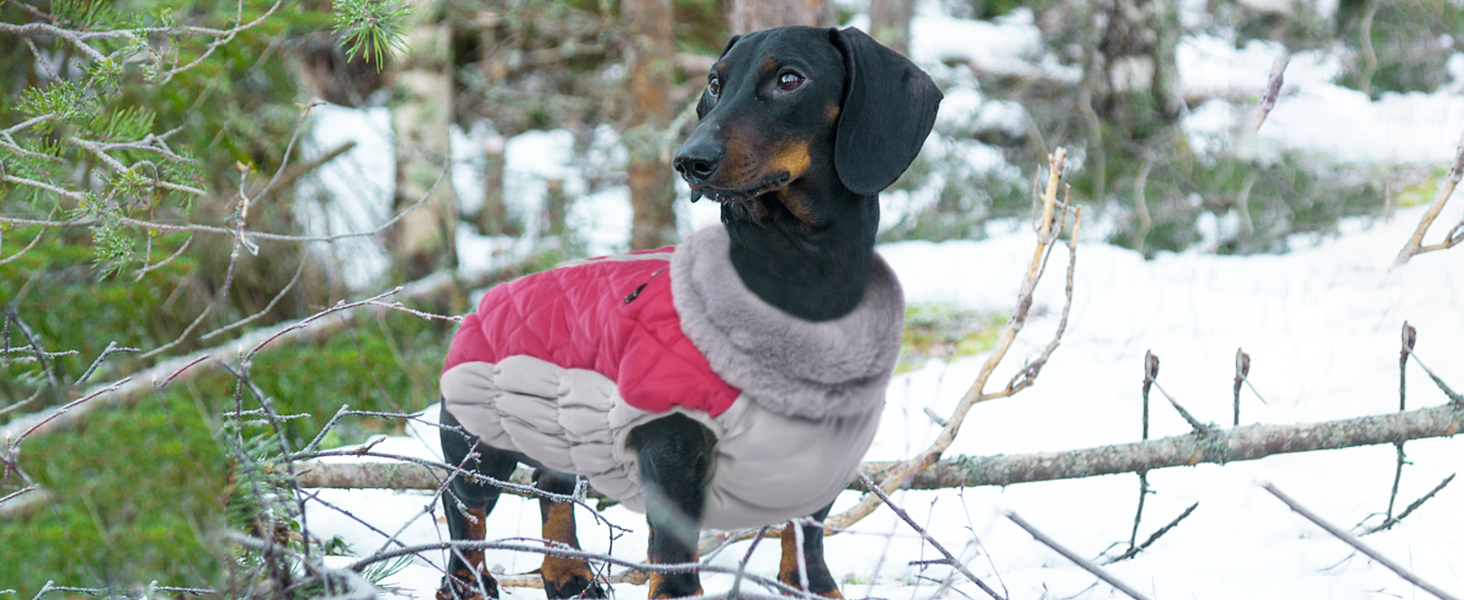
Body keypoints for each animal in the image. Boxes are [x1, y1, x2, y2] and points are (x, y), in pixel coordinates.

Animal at [433, 24, 936, 600]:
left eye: (790, 79)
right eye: (715, 82)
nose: (689, 160)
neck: (799, 287)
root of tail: (488, 297)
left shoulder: (825, 447)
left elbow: (805, 531)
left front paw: (813, 585)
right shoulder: (673, 447)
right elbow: (673, 557)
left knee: (551, 483)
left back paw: (568, 574)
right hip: (479, 443)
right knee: (465, 508)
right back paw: (469, 583)